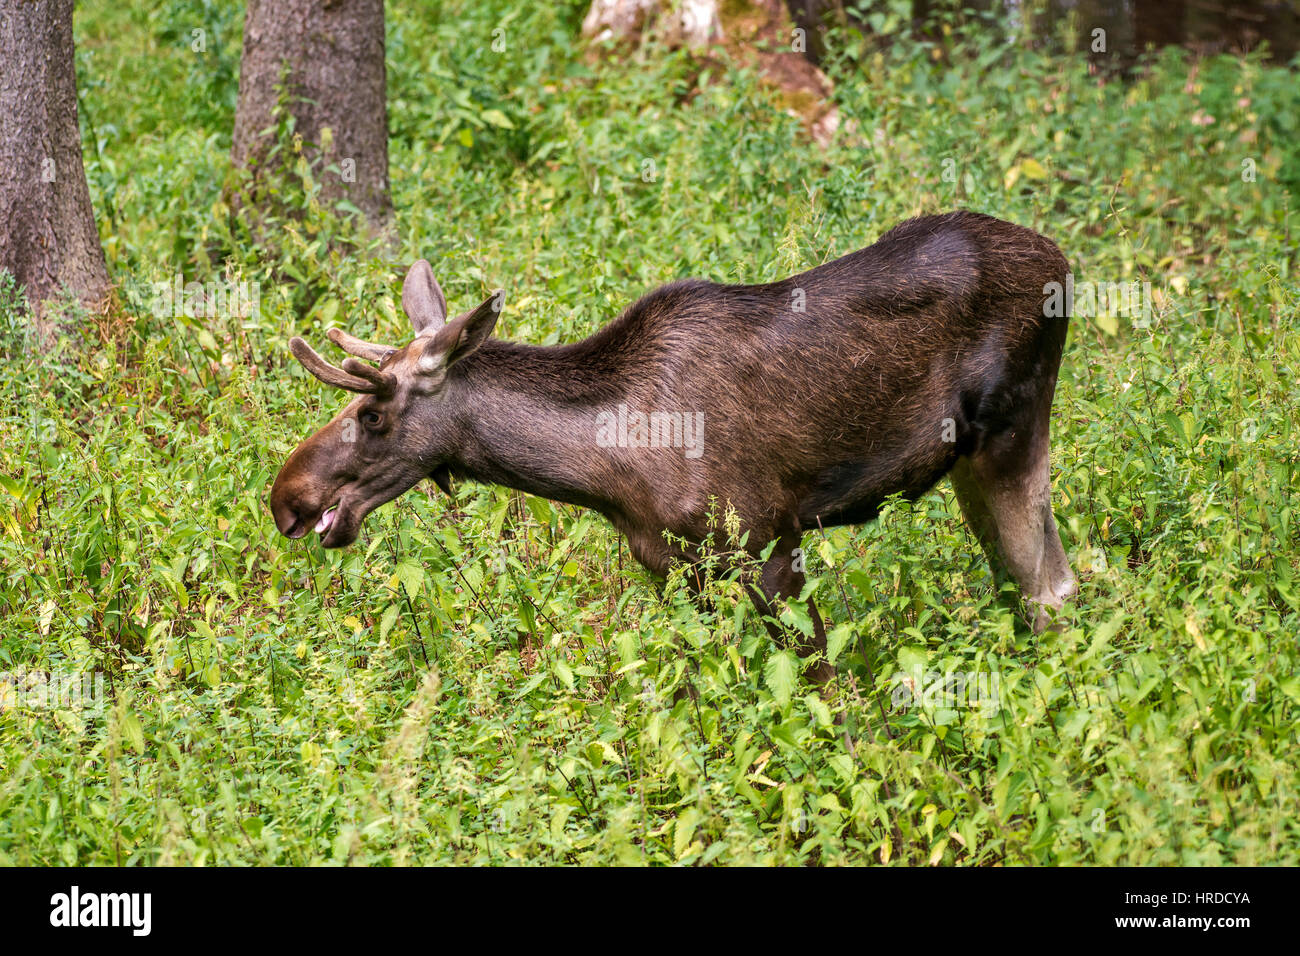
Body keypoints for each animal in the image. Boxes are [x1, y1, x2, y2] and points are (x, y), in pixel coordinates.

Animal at [266, 213, 1076, 686]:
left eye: (373, 412)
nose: (286, 499)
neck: (606, 474)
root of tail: (1063, 257)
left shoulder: (767, 539)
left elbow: (820, 684)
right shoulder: (672, 567)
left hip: (1012, 427)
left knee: (1049, 586)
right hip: (971, 458)